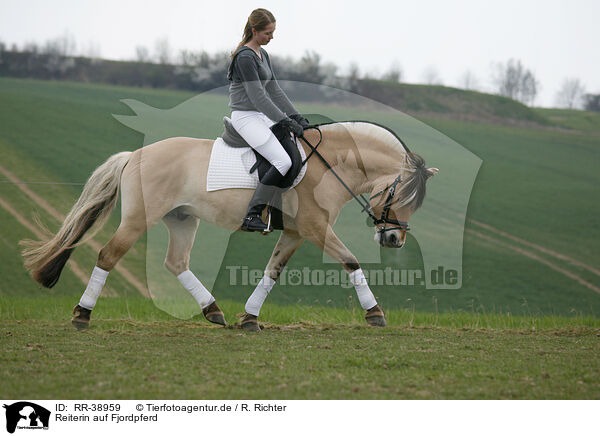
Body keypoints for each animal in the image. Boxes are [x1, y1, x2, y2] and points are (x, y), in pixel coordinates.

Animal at [21, 120, 438, 330]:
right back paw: (82, 314)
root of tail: (136, 155)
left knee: (176, 263)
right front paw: (375, 313)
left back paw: (213, 311)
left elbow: (272, 272)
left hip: (182, 219)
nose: (394, 239)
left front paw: (250, 318)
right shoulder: (316, 228)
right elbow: (351, 261)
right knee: (109, 255)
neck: (329, 163)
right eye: (400, 195)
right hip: (141, 218)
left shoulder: (295, 232)